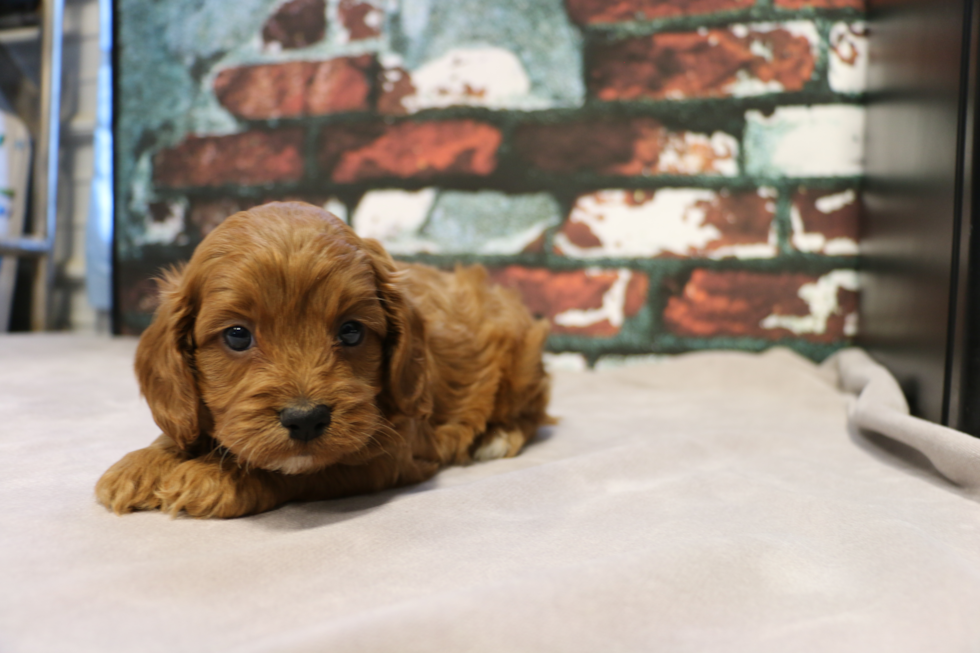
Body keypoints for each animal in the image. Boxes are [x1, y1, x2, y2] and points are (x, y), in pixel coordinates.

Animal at [96, 201, 552, 516]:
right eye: (237, 336)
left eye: (351, 331)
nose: (305, 419)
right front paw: (142, 464)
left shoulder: (391, 451)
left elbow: (300, 471)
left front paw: (213, 477)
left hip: (523, 366)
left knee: (533, 415)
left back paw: (497, 438)